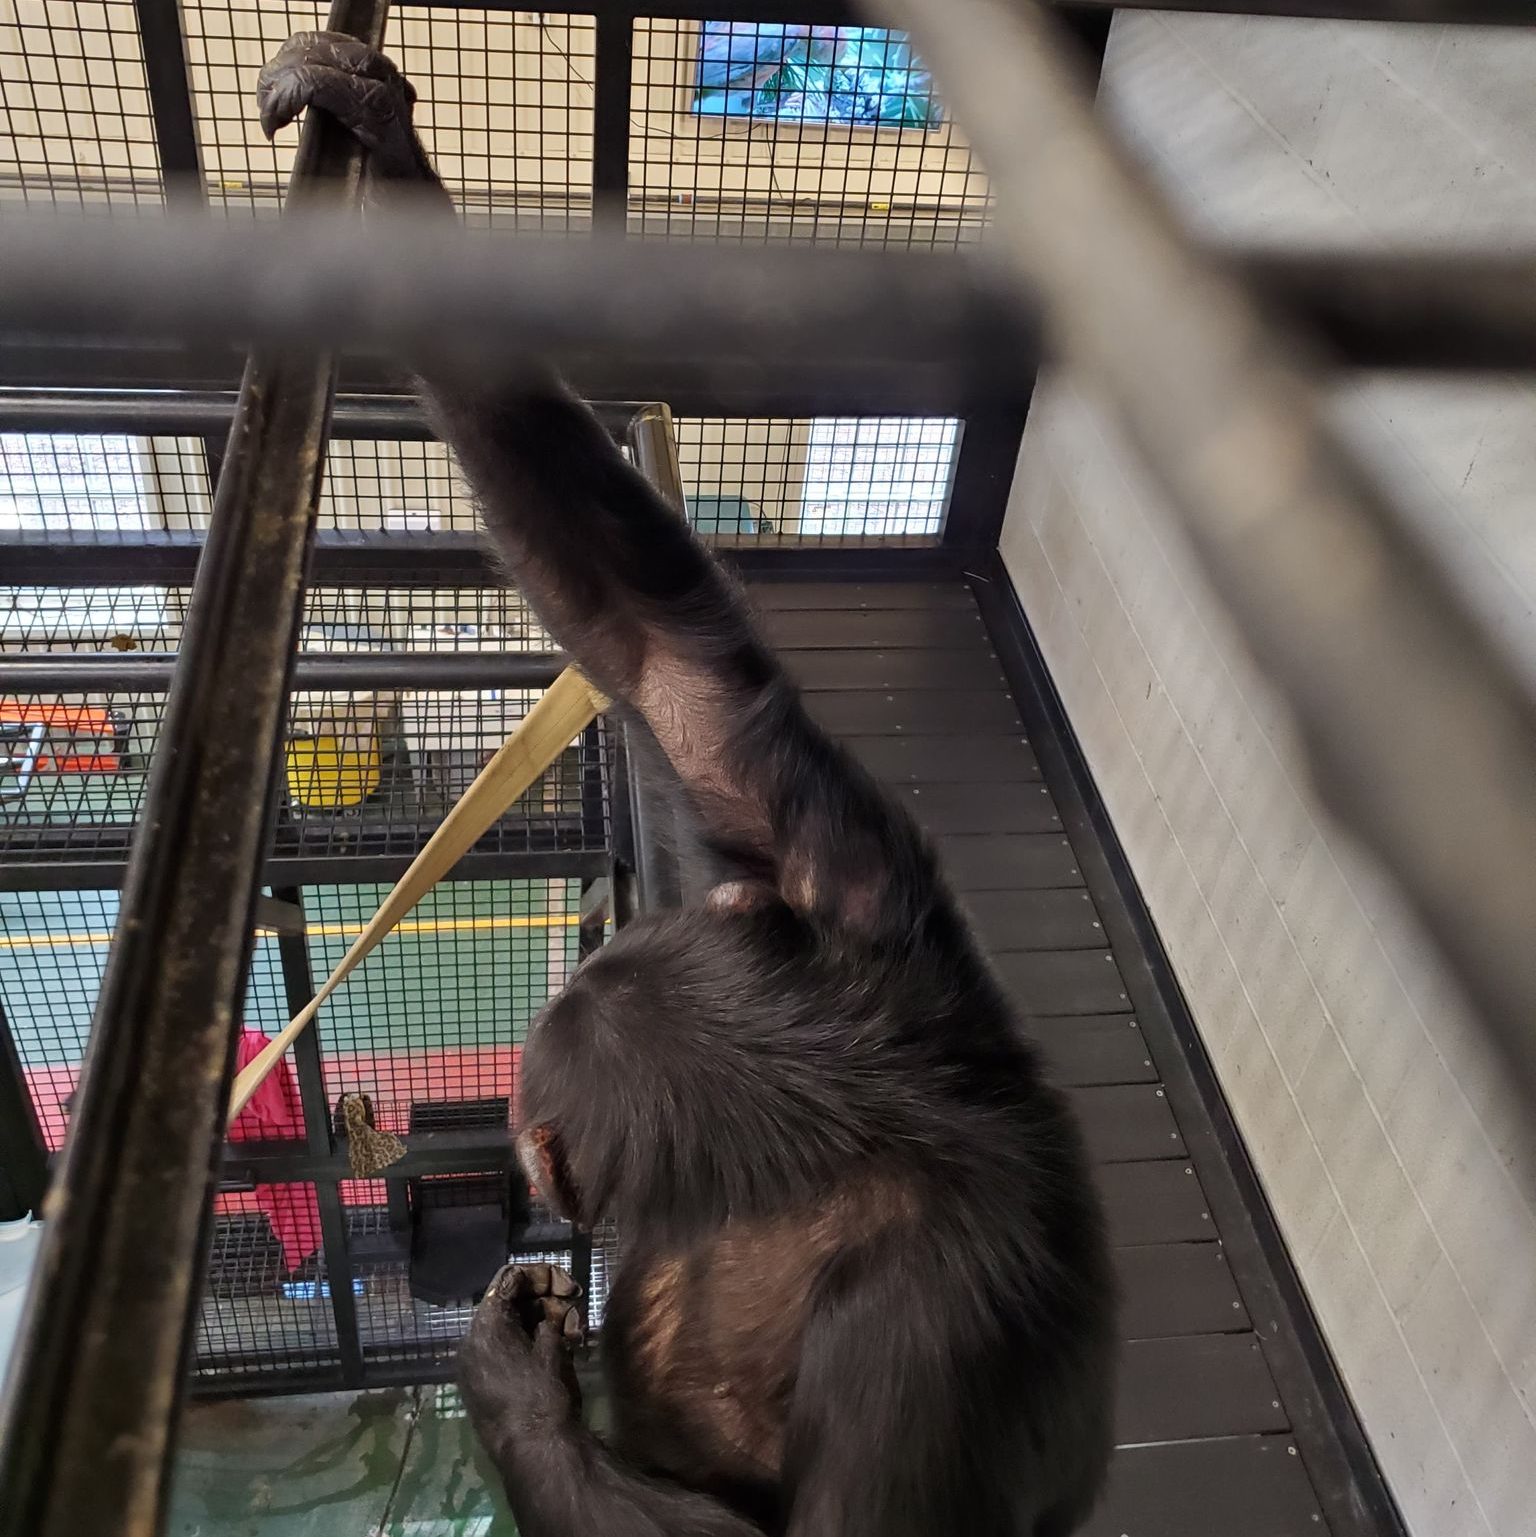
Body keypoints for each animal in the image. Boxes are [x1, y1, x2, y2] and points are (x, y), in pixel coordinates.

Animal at [258, 36, 1113, 1537]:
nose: (541, 1184)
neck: (850, 1107)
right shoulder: (848, 876)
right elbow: (659, 651)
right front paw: (369, 109)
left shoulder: (935, 1336)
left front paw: (513, 1378)